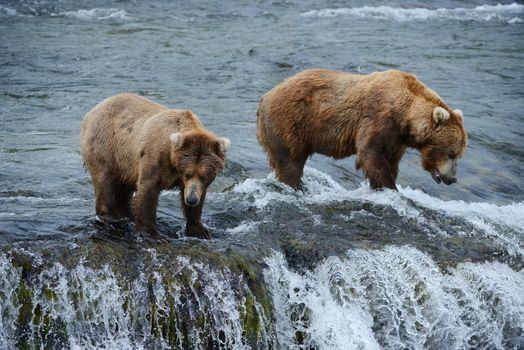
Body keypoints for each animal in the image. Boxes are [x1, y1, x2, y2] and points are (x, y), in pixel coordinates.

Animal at [80, 93, 229, 241]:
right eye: (188, 174)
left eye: (203, 176)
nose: (191, 200)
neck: (173, 160)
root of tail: (91, 112)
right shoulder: (156, 158)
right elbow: (148, 190)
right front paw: (155, 234)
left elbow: (198, 200)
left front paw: (199, 230)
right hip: (106, 145)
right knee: (105, 179)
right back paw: (112, 217)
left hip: (126, 164)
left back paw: (126, 213)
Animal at [256, 68, 466, 191]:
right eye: (451, 153)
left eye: (459, 155)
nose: (452, 179)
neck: (405, 117)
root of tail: (266, 95)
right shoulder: (380, 118)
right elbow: (371, 153)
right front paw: (389, 188)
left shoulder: (397, 140)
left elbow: (391, 160)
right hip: (290, 122)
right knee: (290, 162)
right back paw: (295, 185)